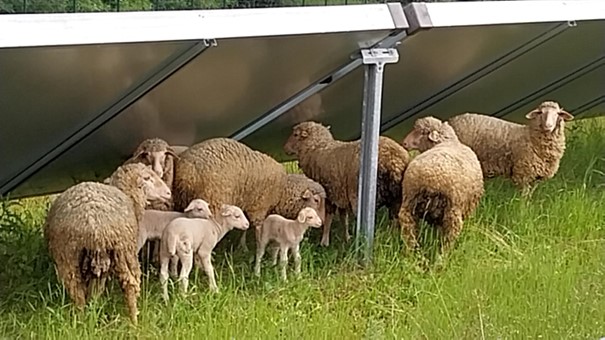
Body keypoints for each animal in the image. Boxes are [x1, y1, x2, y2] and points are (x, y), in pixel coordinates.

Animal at [43, 163, 171, 326]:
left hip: (67, 255)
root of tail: (91, 222)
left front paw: (93, 307)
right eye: (147, 178)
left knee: (76, 289)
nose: (168, 193)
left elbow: (94, 290)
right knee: (130, 284)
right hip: (123, 250)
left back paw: (82, 320)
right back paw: (134, 321)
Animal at [398, 116, 484, 260]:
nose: (404, 143)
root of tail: (431, 178)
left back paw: (413, 255)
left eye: (422, 132)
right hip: (453, 211)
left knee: (408, 232)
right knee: (449, 238)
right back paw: (441, 259)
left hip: (409, 202)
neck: (448, 141)